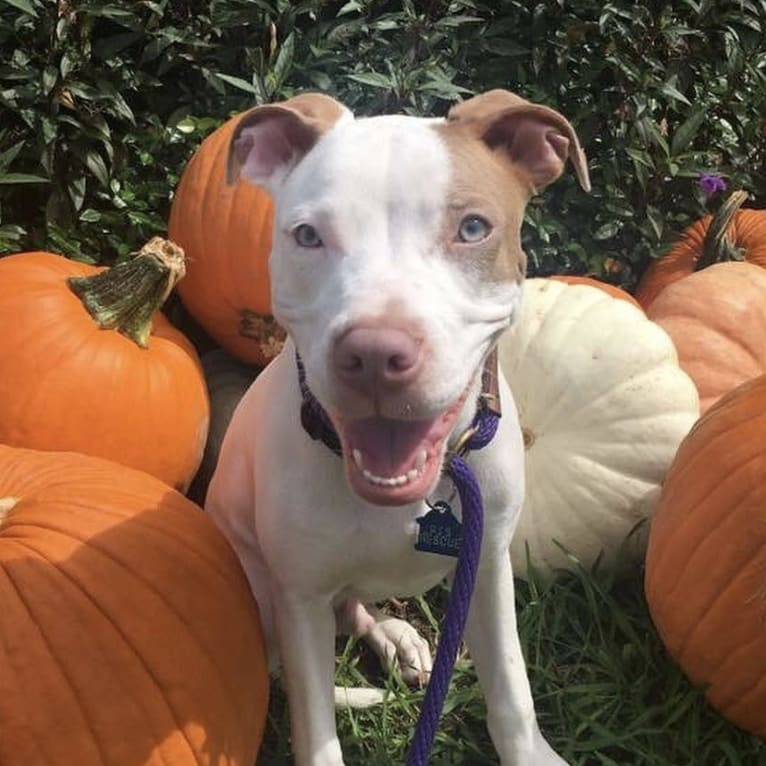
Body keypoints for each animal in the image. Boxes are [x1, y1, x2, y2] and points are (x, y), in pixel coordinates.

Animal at [207, 91, 592, 766]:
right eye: (307, 236)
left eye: (473, 228)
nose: (373, 355)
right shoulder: (298, 598)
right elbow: (315, 731)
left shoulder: (486, 567)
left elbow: (512, 690)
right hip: (255, 588)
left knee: (357, 607)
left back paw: (396, 638)